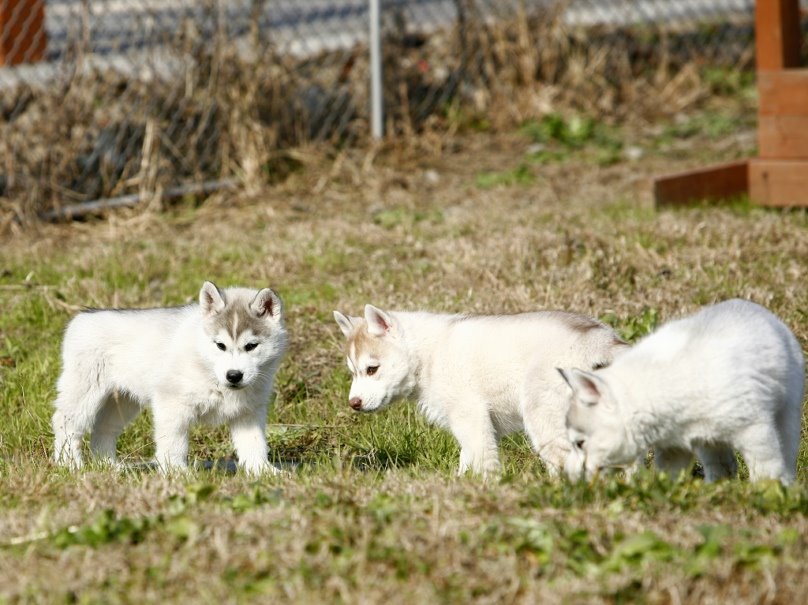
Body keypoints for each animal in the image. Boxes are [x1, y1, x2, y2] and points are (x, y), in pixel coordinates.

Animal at [52, 281, 288, 474]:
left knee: (104, 427)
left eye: (251, 346)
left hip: (123, 401)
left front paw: (264, 471)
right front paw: (177, 473)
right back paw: (70, 464)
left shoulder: (249, 412)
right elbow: (174, 443)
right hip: (84, 391)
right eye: (220, 345)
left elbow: (254, 444)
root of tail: (82, 316)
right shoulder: (172, 405)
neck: (206, 364)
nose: (234, 376)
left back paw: (108, 465)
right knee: (65, 422)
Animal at [334, 304, 628, 475]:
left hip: (543, 415)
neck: (427, 355)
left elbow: (479, 457)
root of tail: (603, 340)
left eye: (372, 369)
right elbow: (468, 458)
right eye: (353, 372)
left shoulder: (469, 415)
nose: (354, 403)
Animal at [559, 299, 805, 485]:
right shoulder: (674, 446)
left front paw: (769, 491)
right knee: (722, 465)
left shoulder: (755, 429)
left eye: (580, 443)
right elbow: (669, 474)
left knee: (785, 450)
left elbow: (766, 468)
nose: (569, 478)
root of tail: (758, 310)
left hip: (787, 411)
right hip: (709, 439)